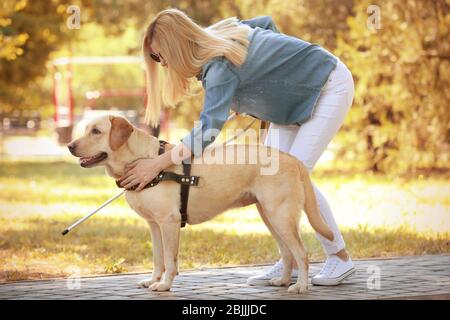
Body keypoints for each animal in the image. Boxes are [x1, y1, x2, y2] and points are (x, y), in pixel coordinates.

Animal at [67, 115, 334, 296]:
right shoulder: (154, 225)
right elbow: (157, 258)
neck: (143, 160)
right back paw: (282, 280)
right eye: (85, 129)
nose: (70, 146)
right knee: (288, 253)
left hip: (281, 216)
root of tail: (293, 159)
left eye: (96, 131)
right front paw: (152, 280)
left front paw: (165, 284)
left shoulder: (170, 222)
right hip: (270, 216)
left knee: (301, 253)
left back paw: (300, 286)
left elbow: (170, 259)